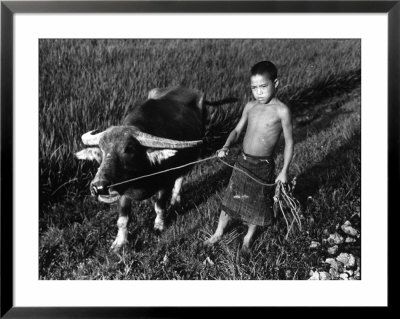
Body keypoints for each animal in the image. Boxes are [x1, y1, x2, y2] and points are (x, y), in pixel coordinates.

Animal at [75, 87, 233, 252]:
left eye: (129, 148)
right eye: (101, 150)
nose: (99, 187)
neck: (140, 179)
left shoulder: (165, 184)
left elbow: (159, 206)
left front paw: (159, 225)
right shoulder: (124, 191)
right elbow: (123, 219)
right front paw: (119, 242)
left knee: (181, 176)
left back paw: (175, 198)